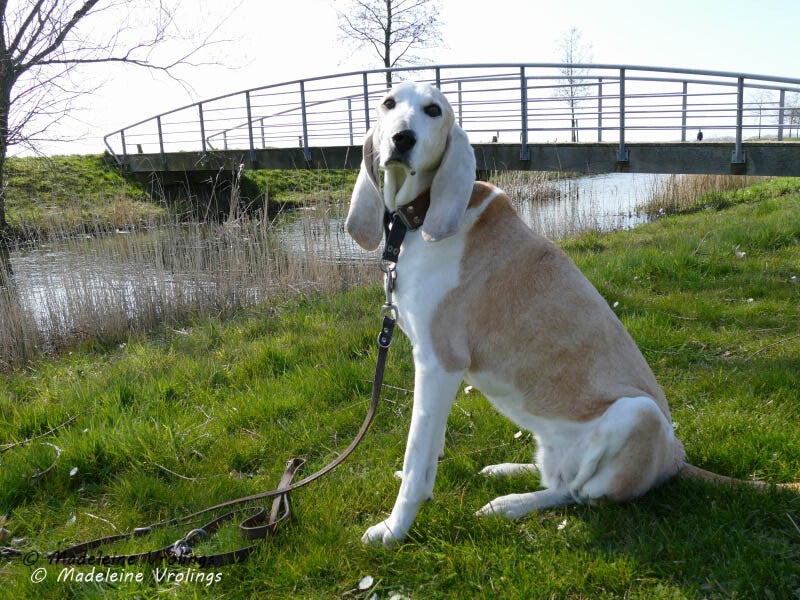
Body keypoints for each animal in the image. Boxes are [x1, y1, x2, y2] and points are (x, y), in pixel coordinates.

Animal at [346, 81, 793, 547]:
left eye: (433, 111)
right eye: (388, 104)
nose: (402, 138)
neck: (419, 218)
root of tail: (677, 458)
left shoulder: (438, 364)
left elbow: (416, 455)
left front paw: (394, 527)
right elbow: (429, 446)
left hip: (639, 414)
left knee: (574, 494)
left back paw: (511, 504)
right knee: (558, 479)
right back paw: (508, 471)